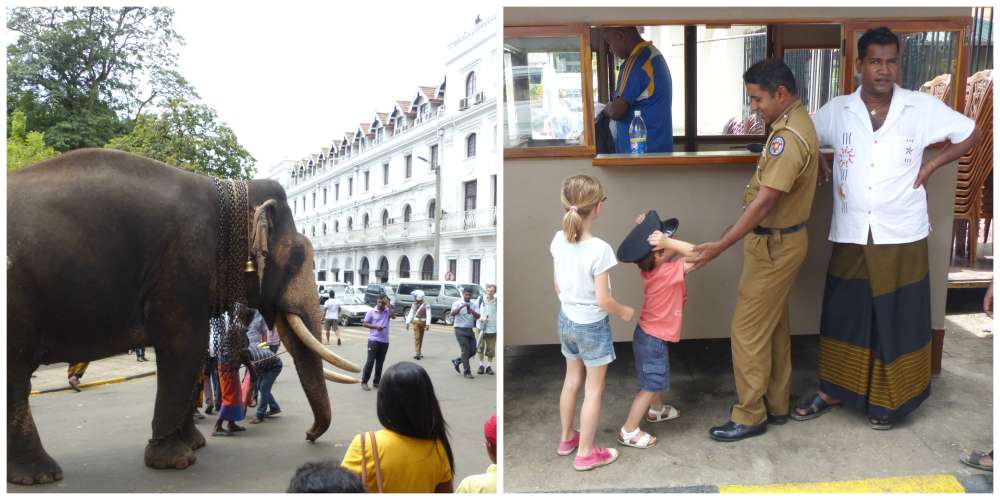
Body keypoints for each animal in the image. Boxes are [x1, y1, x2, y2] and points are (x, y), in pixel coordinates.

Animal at [7, 149, 362, 484]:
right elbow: (184, 349)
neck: (229, 190)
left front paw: (195, 444)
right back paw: (41, 475)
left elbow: (194, 356)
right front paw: (176, 460)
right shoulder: (183, 267)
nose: (309, 435)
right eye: (298, 255)